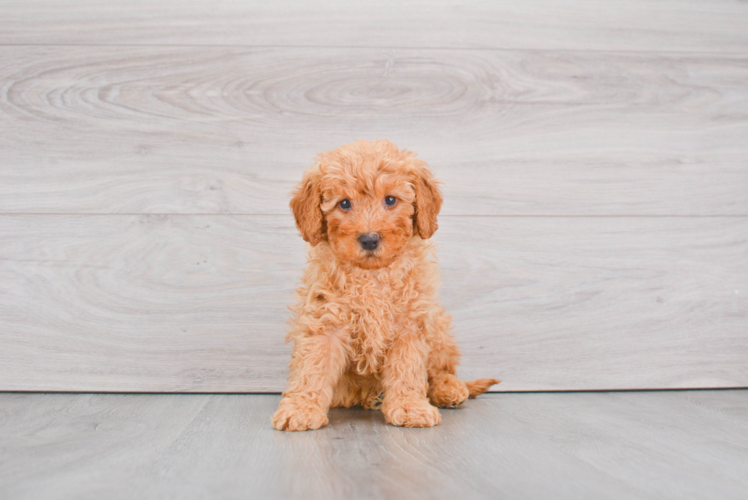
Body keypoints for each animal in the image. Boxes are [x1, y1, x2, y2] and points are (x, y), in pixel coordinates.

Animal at [272, 140, 500, 430]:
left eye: (390, 200)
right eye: (344, 204)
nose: (369, 239)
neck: (372, 275)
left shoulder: (411, 324)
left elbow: (408, 367)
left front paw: (410, 407)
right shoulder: (325, 322)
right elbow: (312, 367)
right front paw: (301, 408)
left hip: (438, 327)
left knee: (442, 369)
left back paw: (448, 389)